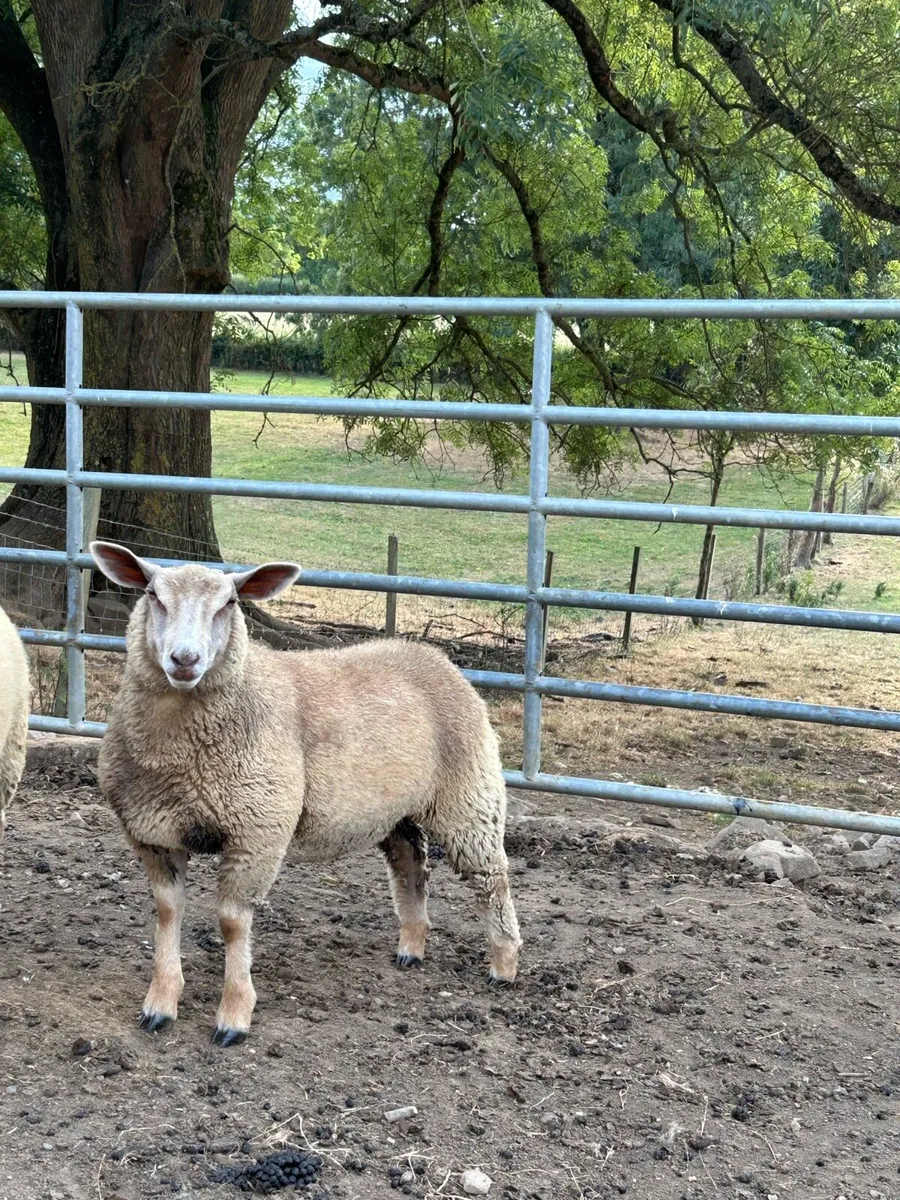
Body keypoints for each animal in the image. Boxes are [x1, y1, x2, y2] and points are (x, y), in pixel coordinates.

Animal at [91, 540, 522, 1047]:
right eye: (154, 596)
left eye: (229, 603)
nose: (185, 660)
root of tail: (432, 654)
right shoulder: (152, 832)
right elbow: (167, 912)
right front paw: (159, 1004)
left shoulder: (257, 831)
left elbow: (232, 923)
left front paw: (234, 1016)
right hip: (393, 809)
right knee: (410, 864)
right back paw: (411, 947)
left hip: (469, 796)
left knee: (492, 878)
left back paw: (503, 965)